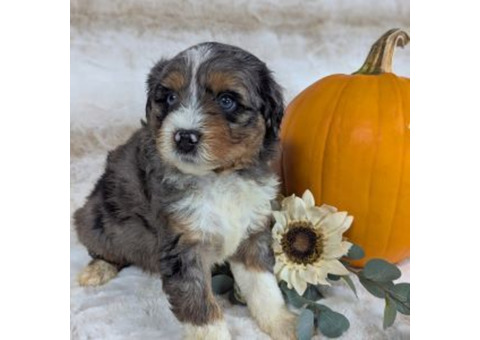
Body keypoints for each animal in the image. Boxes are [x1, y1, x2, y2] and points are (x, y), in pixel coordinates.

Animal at [75, 43, 296, 340]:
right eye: (169, 97)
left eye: (226, 100)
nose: (184, 137)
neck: (218, 177)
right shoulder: (182, 246)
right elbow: (201, 309)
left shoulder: (252, 231)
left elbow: (263, 286)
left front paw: (281, 323)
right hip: (94, 218)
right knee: (103, 248)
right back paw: (98, 269)